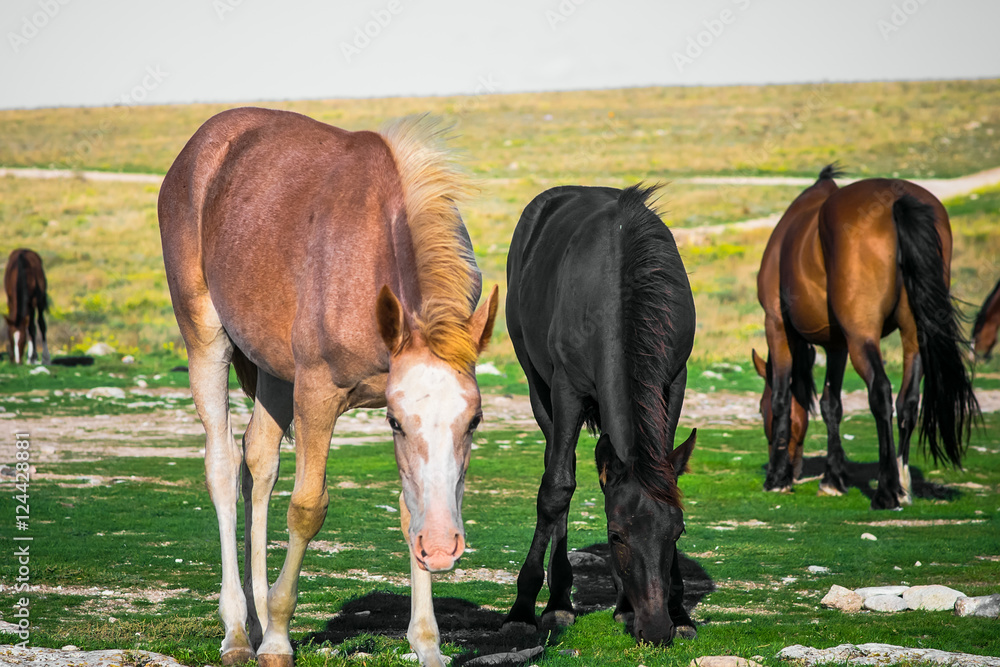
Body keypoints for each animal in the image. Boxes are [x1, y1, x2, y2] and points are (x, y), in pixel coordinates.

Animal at [158, 109, 498, 667]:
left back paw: (254, 619)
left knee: (258, 462)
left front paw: (427, 642)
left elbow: (410, 505)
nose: (442, 545)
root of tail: (197, 149)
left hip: (274, 371)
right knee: (222, 468)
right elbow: (306, 508)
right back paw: (239, 631)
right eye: (396, 422)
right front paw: (278, 639)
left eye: (474, 420)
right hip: (206, 339)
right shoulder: (317, 393)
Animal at [504, 185, 700, 644]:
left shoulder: (675, 380)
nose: (656, 628)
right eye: (615, 536)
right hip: (538, 386)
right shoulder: (566, 388)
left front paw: (674, 610)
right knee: (560, 471)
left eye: (678, 532)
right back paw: (558, 601)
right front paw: (524, 608)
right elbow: (556, 489)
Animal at [756, 167, 976, 512]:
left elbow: (781, 397)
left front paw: (777, 479)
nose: (794, 469)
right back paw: (902, 484)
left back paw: (886, 491)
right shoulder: (837, 344)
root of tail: (897, 200)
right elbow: (831, 404)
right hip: (913, 335)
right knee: (908, 400)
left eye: (759, 409)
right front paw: (832, 479)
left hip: (862, 337)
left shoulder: (777, 324)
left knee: (881, 392)